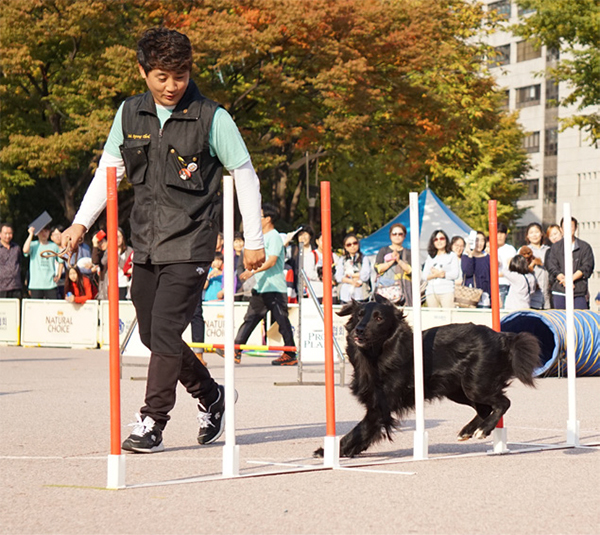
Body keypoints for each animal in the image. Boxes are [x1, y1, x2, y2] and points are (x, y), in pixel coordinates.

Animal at [316, 296, 540, 458]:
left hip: (475, 385)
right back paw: (468, 430)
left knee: (503, 402)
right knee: (485, 408)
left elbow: (360, 430)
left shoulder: (380, 407)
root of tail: (501, 337)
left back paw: (482, 430)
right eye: (359, 315)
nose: (359, 330)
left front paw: (330, 451)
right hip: (459, 390)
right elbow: (362, 432)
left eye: (379, 318)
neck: (379, 354)